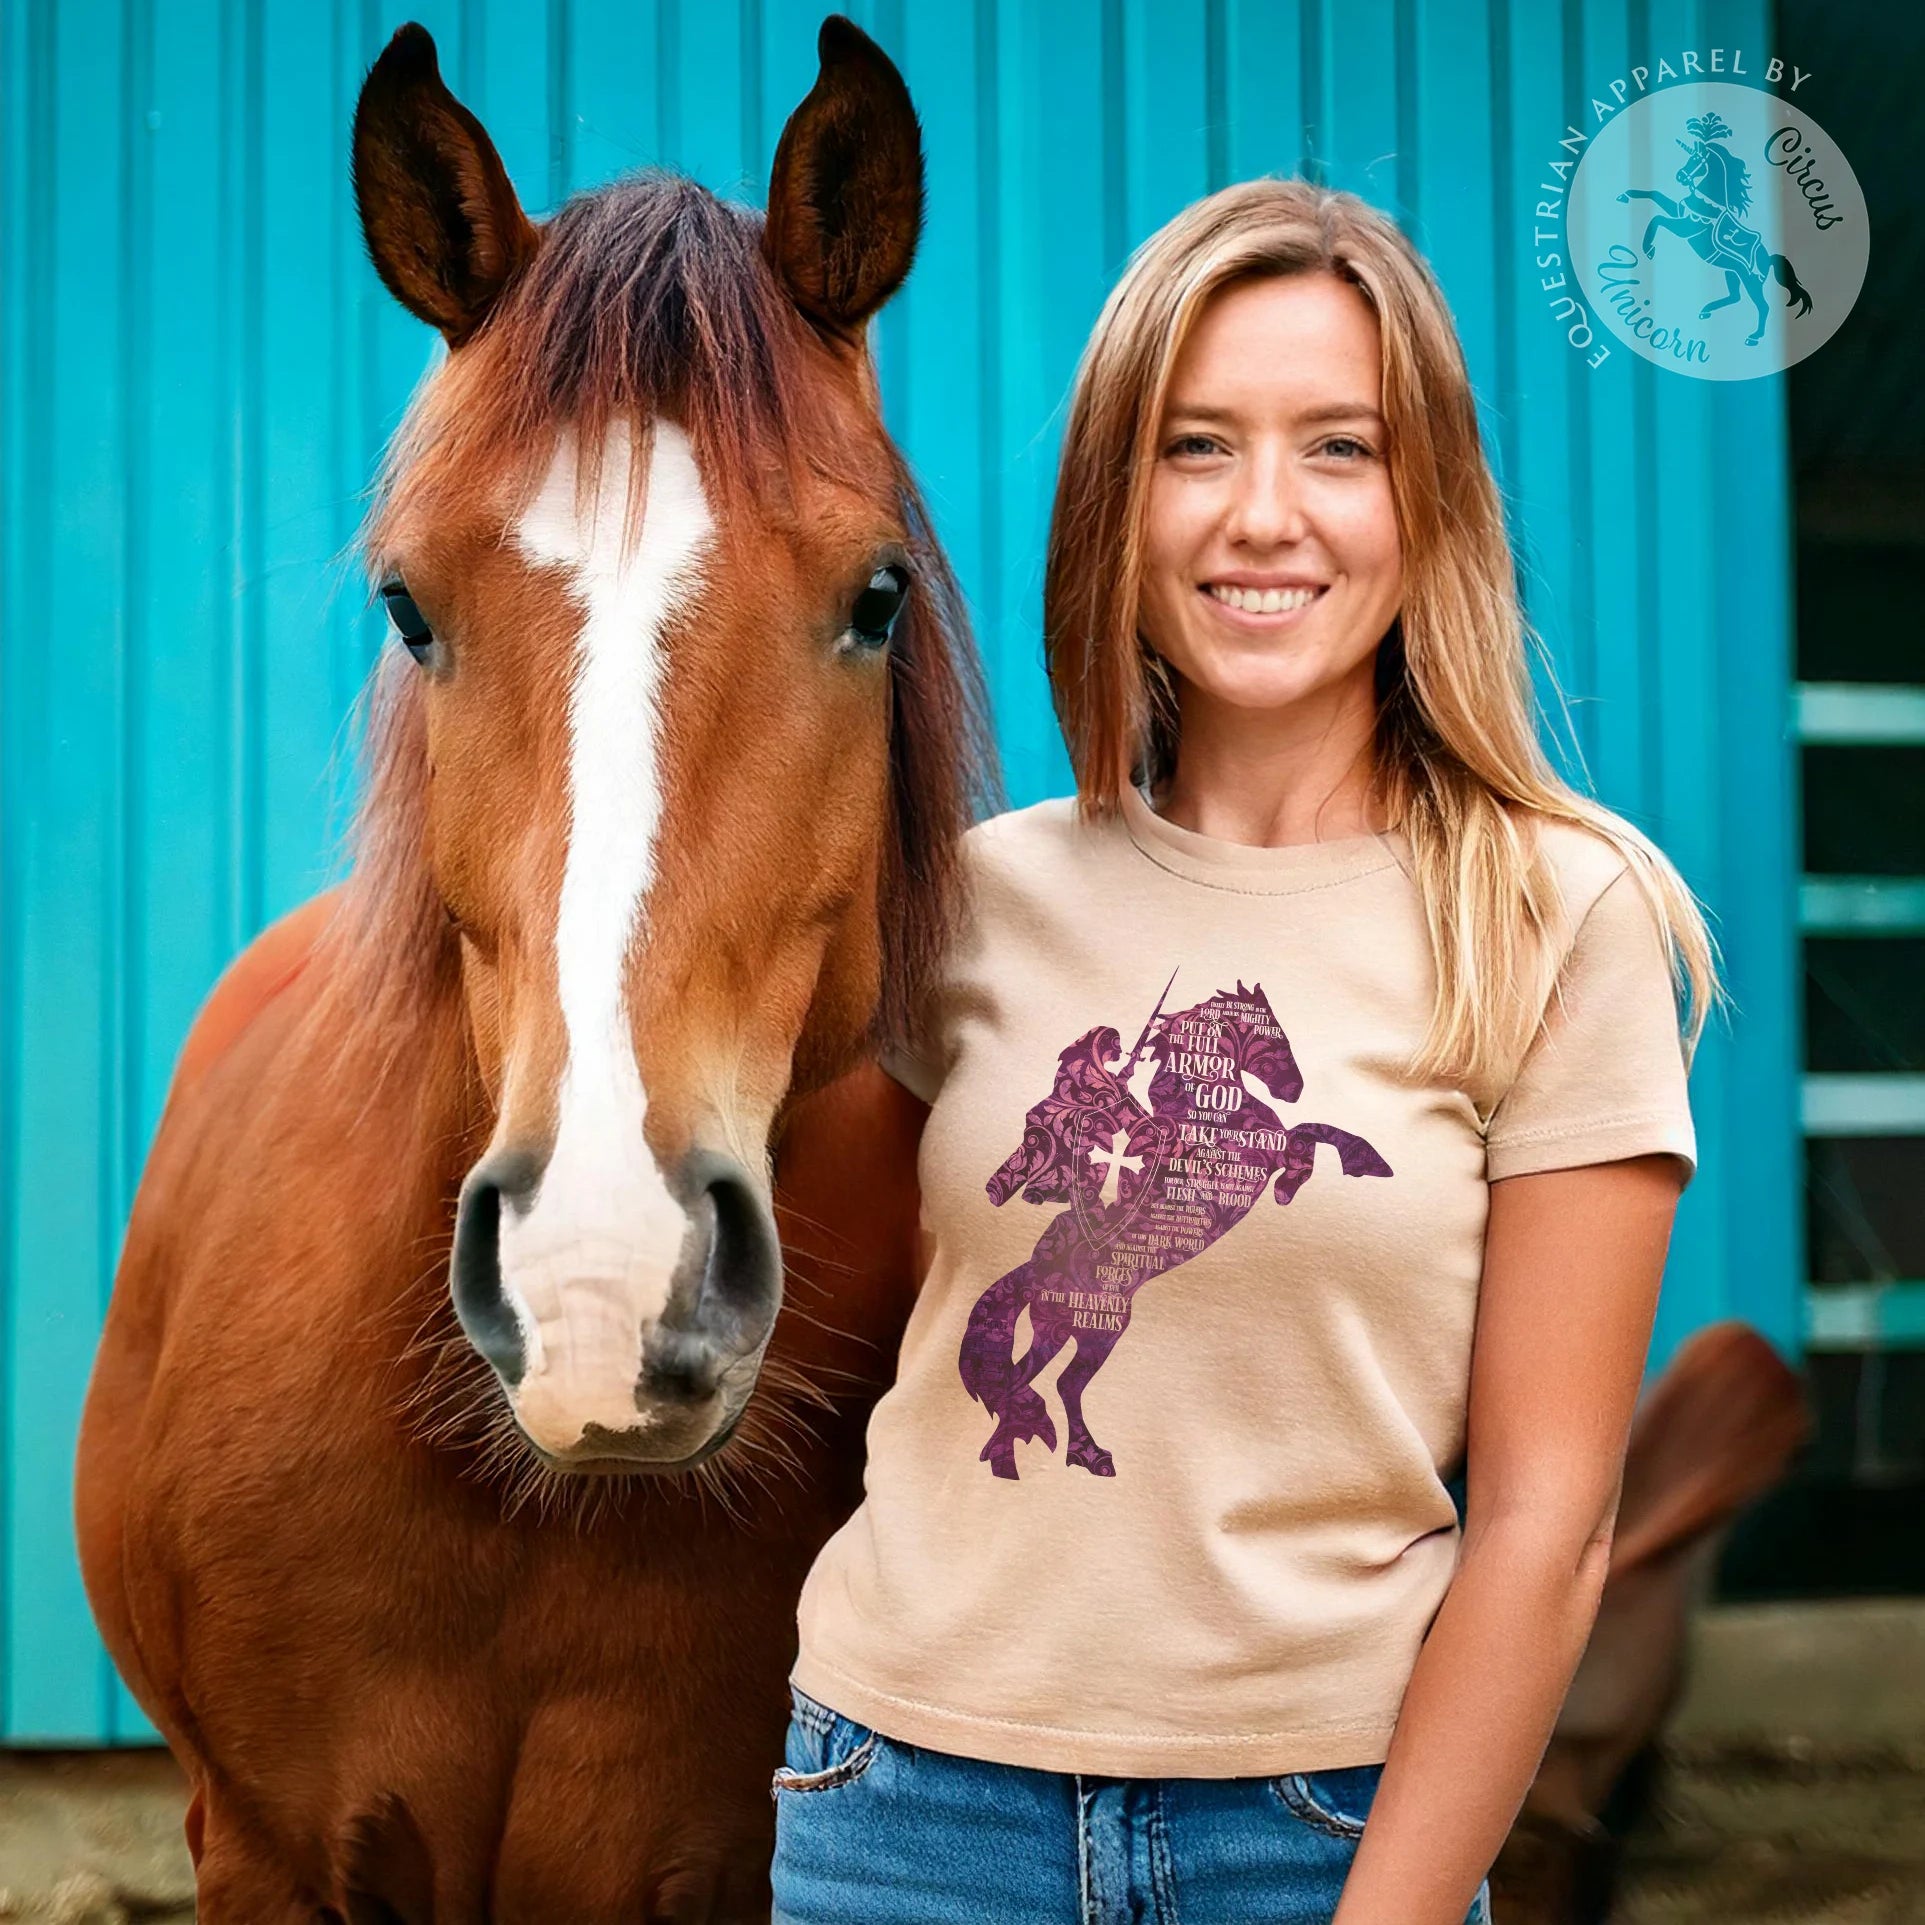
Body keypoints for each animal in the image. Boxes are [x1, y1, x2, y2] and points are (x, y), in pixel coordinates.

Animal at [959, 981, 1392, 1479]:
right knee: (1064, 1384)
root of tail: (1035, 1271)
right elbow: (1306, 1134)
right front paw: (1321, 1175)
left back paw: (1027, 1456)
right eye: (1275, 1034)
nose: (1294, 1089)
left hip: (1058, 1330)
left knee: (1020, 1379)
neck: (1211, 1111)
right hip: (1101, 1330)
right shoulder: (1258, 1155)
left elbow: (1309, 1130)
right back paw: (1086, 1455)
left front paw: (1352, 1164)